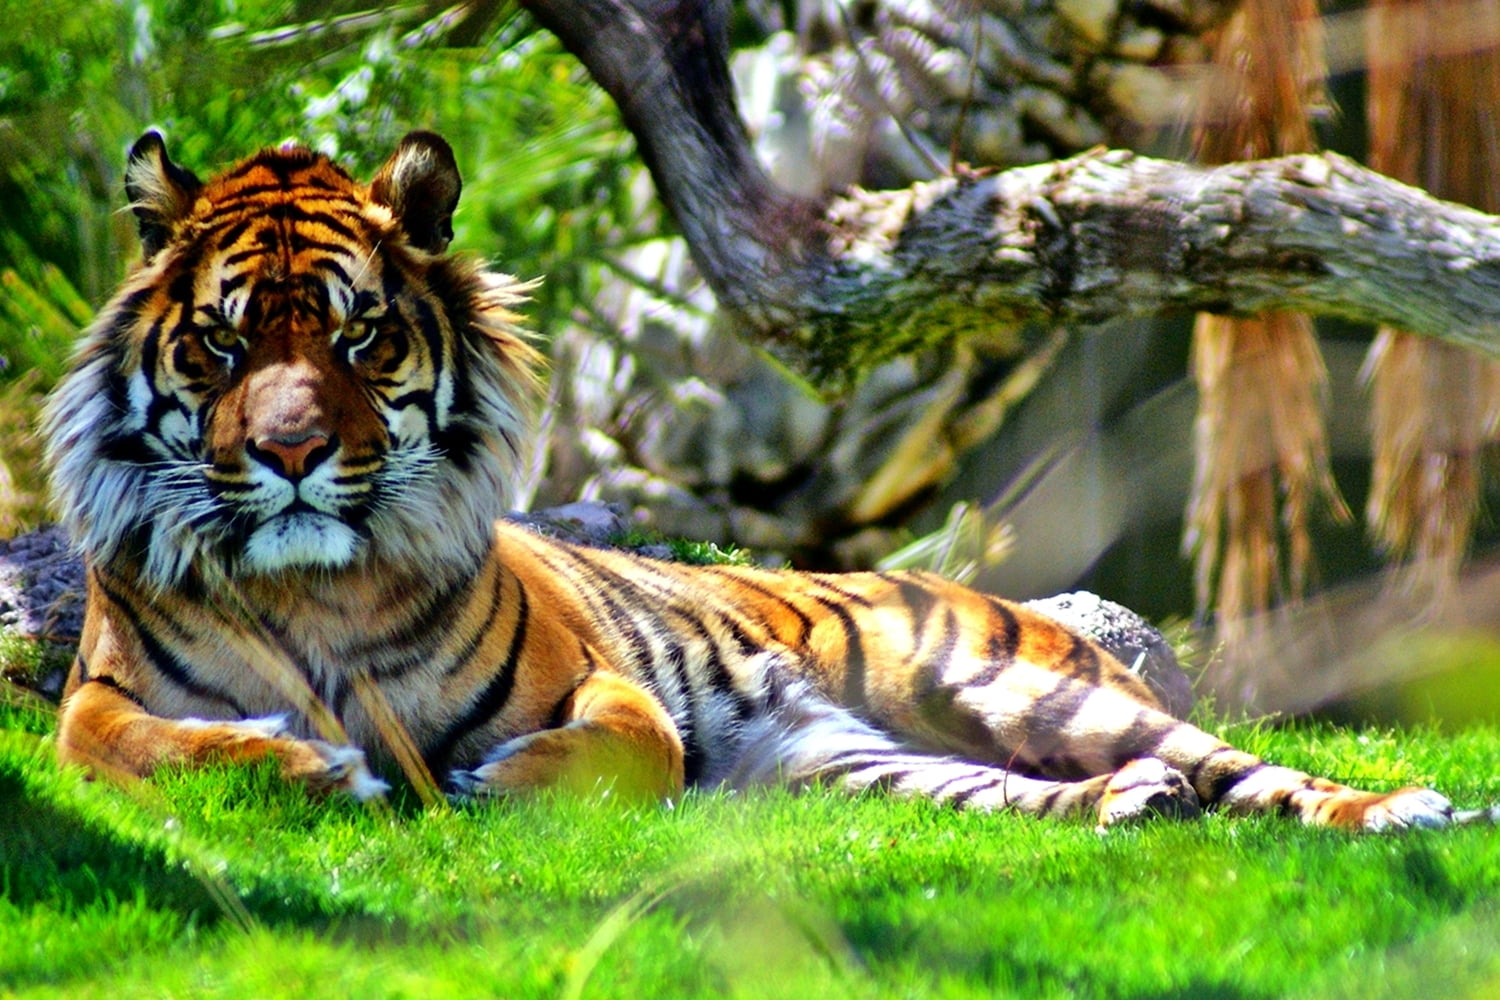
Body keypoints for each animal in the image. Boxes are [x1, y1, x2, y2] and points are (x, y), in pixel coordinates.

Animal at [40, 129, 1459, 832]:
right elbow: (167, 748)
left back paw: (1402, 809)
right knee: (1038, 793)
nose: (289, 455)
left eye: (359, 336)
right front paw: (314, 770)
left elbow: (637, 743)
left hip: (1015, 686)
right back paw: (1131, 808)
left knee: (1250, 771)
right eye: (226, 343)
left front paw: (491, 781)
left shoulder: (595, 682)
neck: (315, 587)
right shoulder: (96, 703)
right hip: (861, 765)